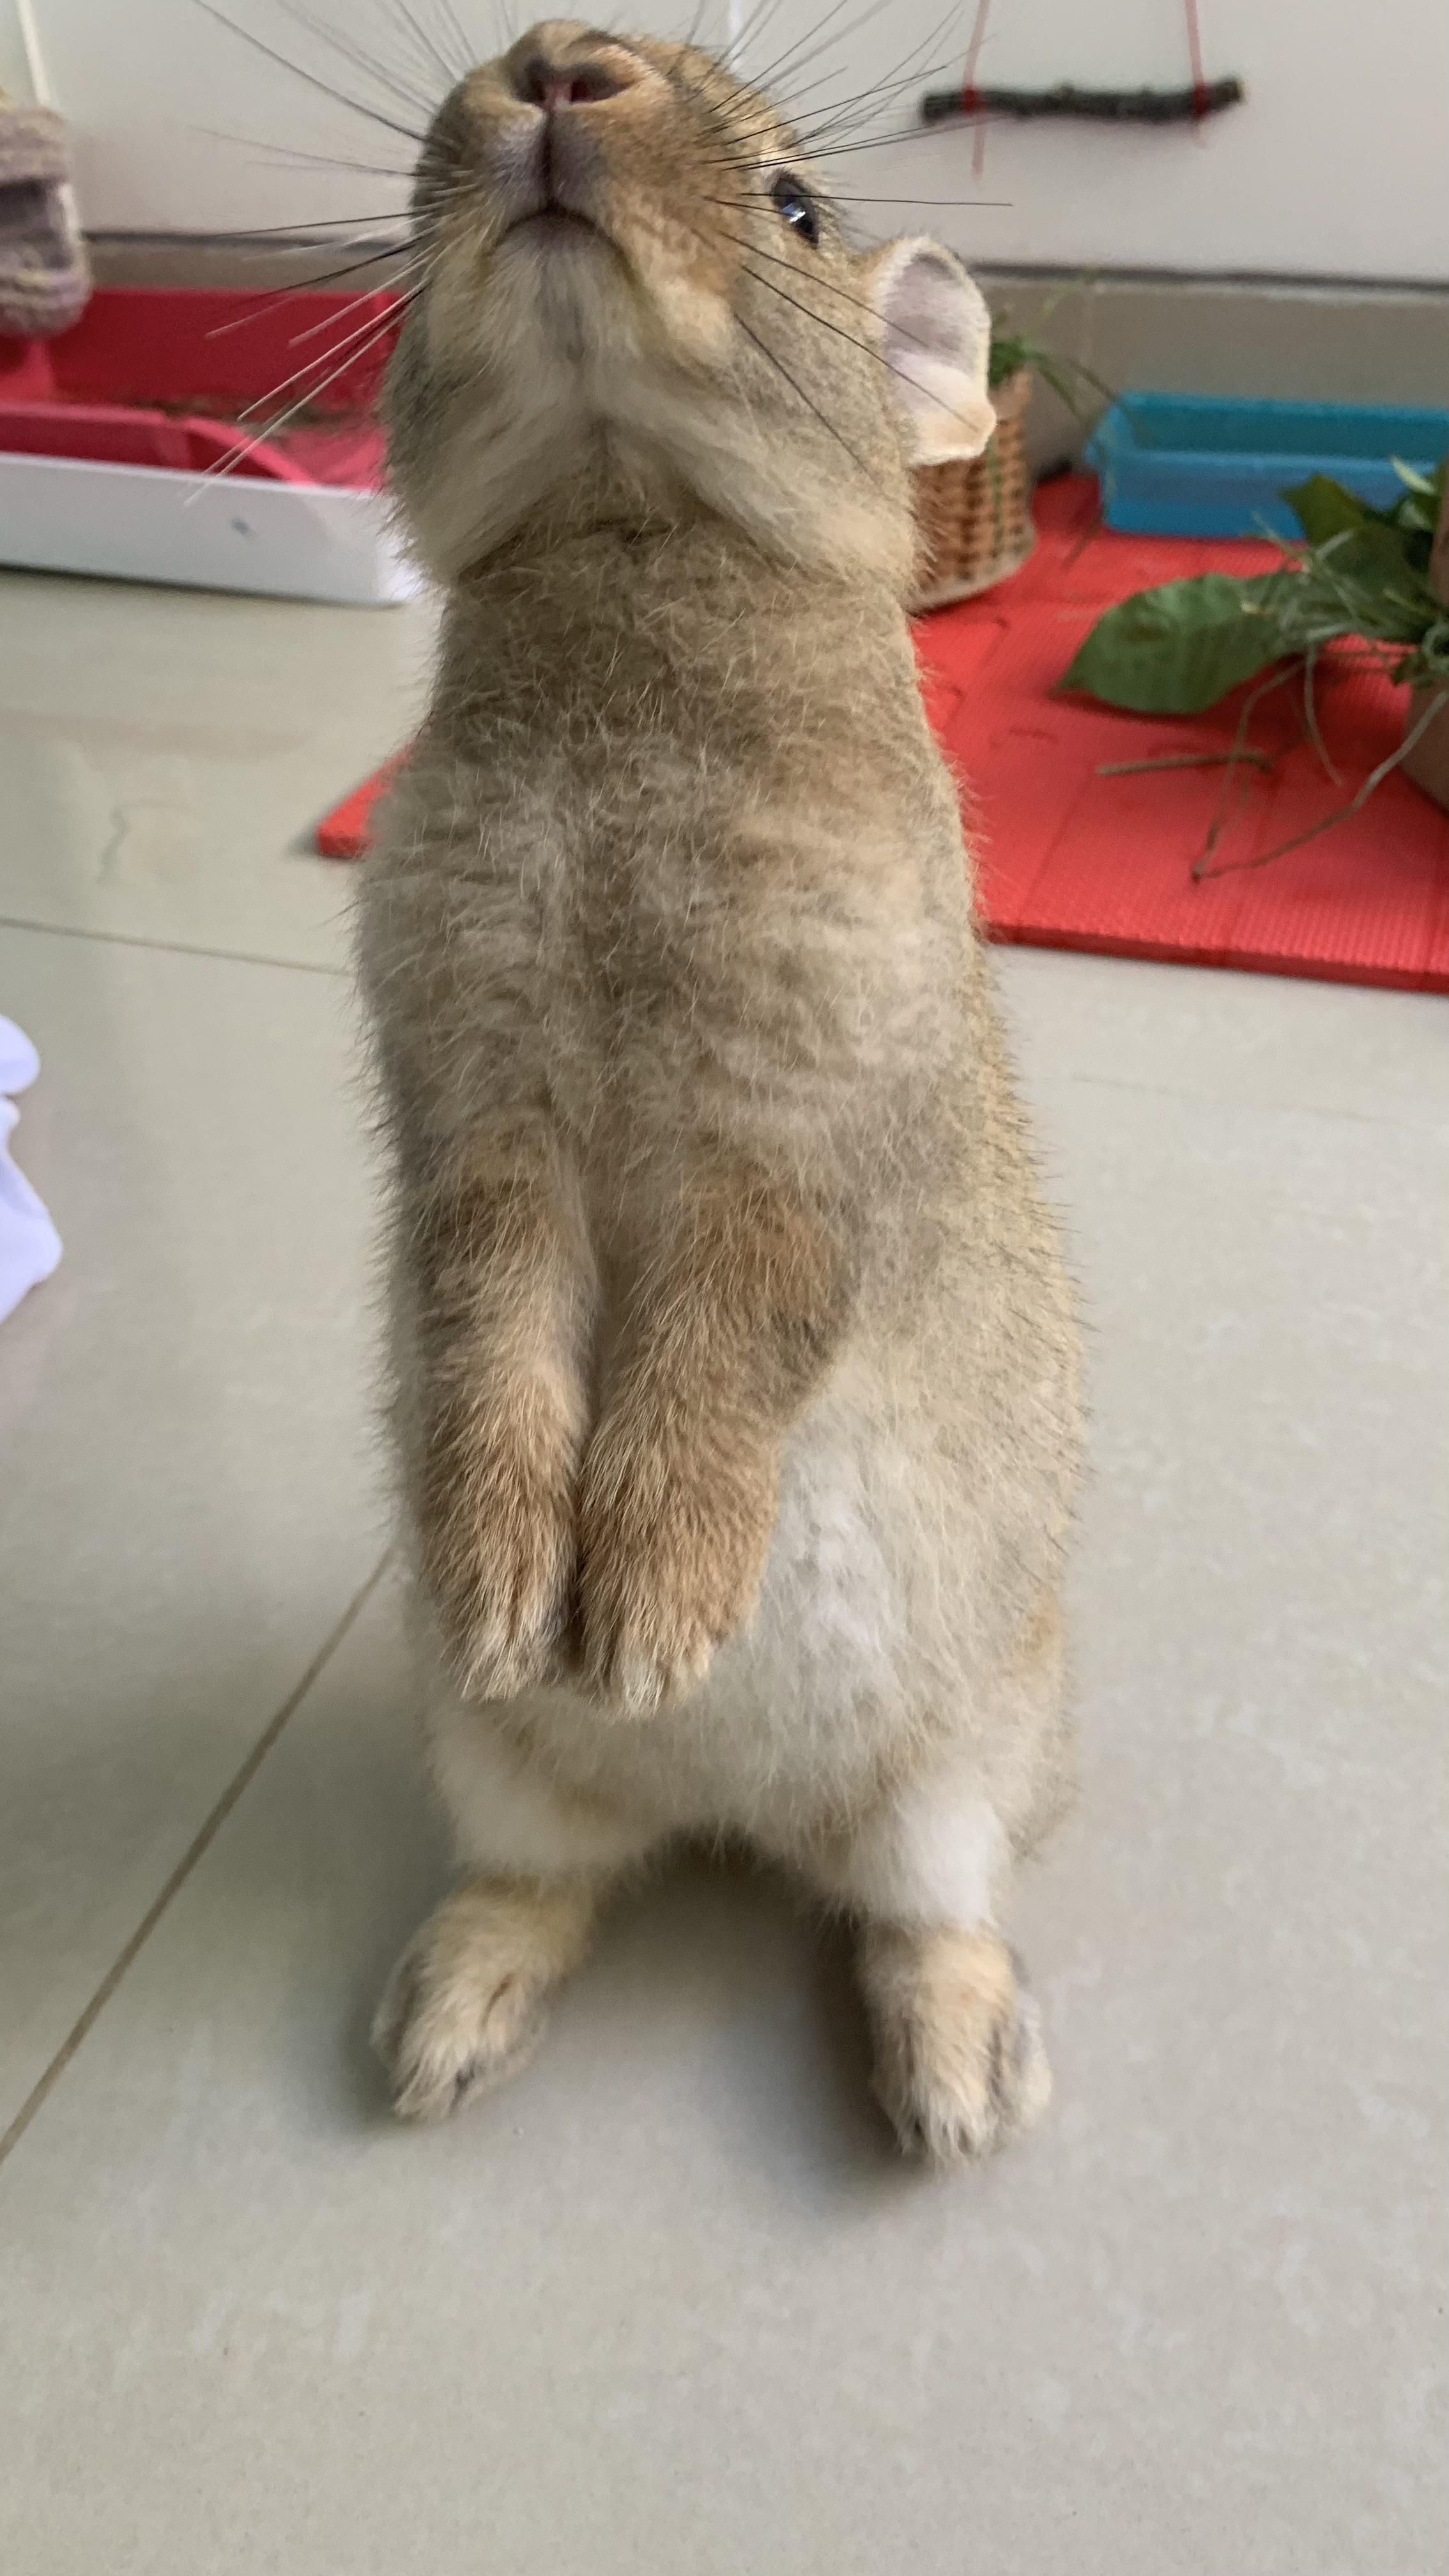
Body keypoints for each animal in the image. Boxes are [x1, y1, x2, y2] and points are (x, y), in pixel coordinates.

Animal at [356, 17, 1082, 2166]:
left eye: (796, 209)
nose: (554, 63)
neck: (626, 528)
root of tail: (734, 1818)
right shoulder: (476, 1120)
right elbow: (495, 1313)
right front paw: (520, 1592)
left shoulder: (801, 1142)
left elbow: (730, 1338)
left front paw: (656, 1618)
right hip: (484, 1760)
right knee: (549, 1874)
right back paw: (442, 2033)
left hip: (955, 1768)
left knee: (922, 1909)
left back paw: (956, 2095)